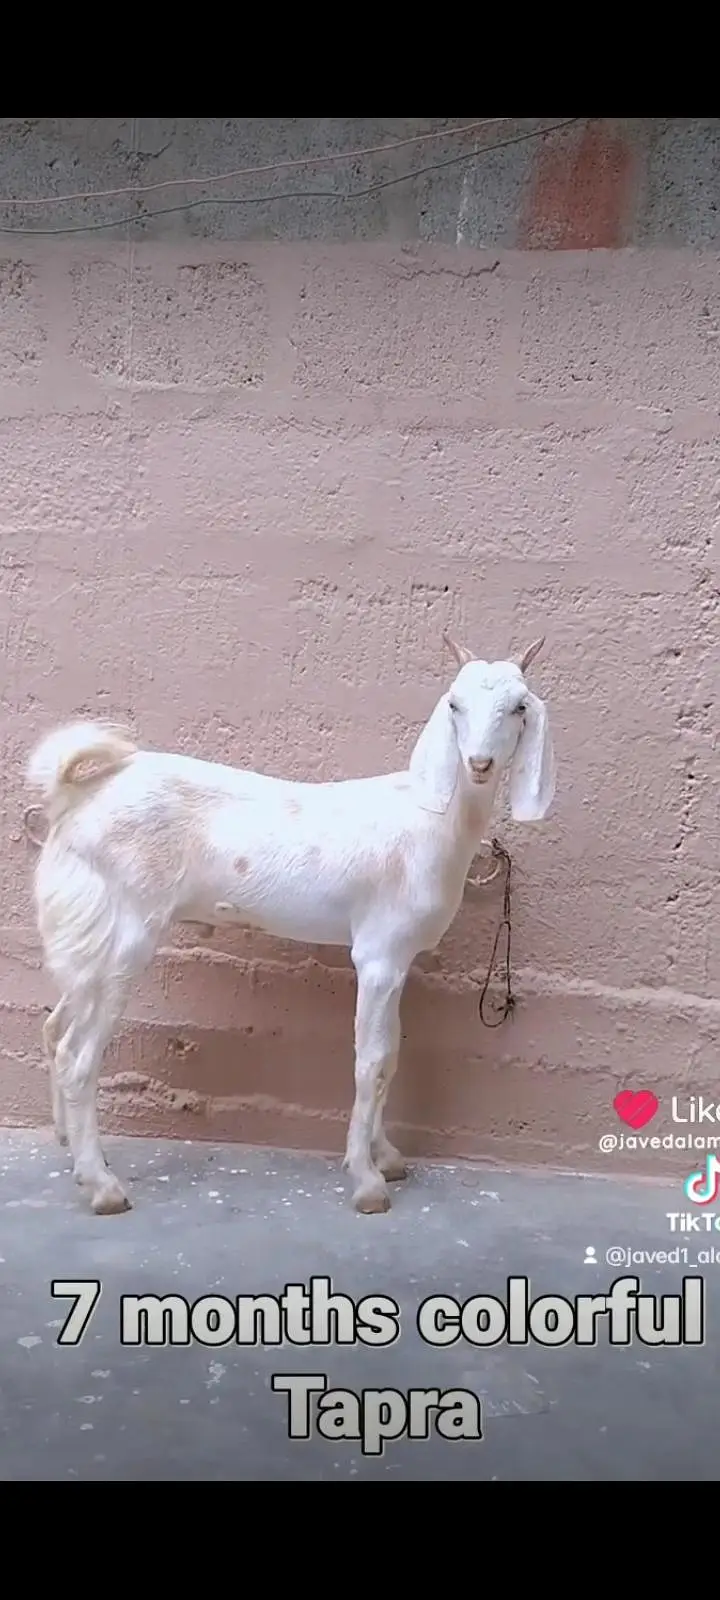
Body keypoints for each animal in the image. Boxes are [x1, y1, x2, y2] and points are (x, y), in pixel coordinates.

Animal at [26, 633, 556, 1218]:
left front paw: (387, 1157)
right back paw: (102, 1186)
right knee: (78, 1057)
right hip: (125, 935)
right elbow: (370, 1061)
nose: (480, 763)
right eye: (454, 704)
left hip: (89, 939)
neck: (428, 817)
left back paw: (72, 1150)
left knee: (54, 1029)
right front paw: (367, 1182)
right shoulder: (377, 955)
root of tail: (73, 799)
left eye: (520, 707)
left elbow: (391, 1056)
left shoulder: (397, 960)